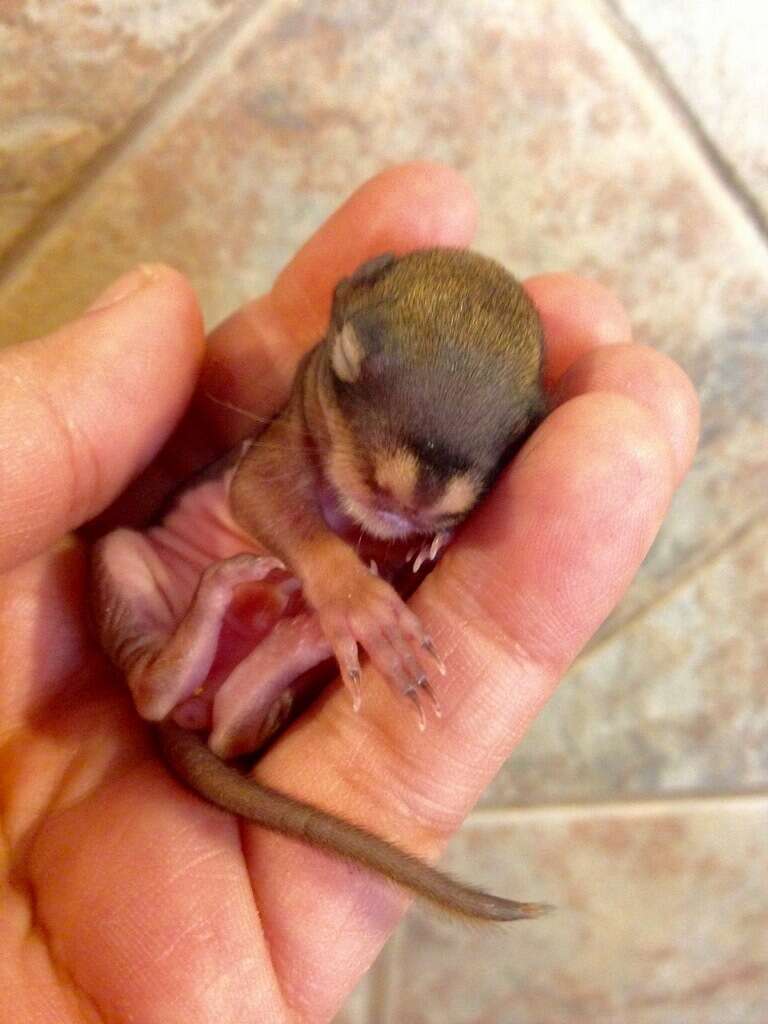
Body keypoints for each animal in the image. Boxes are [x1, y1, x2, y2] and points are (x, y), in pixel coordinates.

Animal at [91, 245, 548, 921]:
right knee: (149, 688)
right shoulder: (271, 453)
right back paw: (233, 599)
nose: (416, 497)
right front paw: (361, 607)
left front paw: (434, 543)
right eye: (347, 360)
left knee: (230, 724)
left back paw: (290, 632)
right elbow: (269, 506)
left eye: (521, 432)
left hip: (252, 705)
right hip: (120, 563)